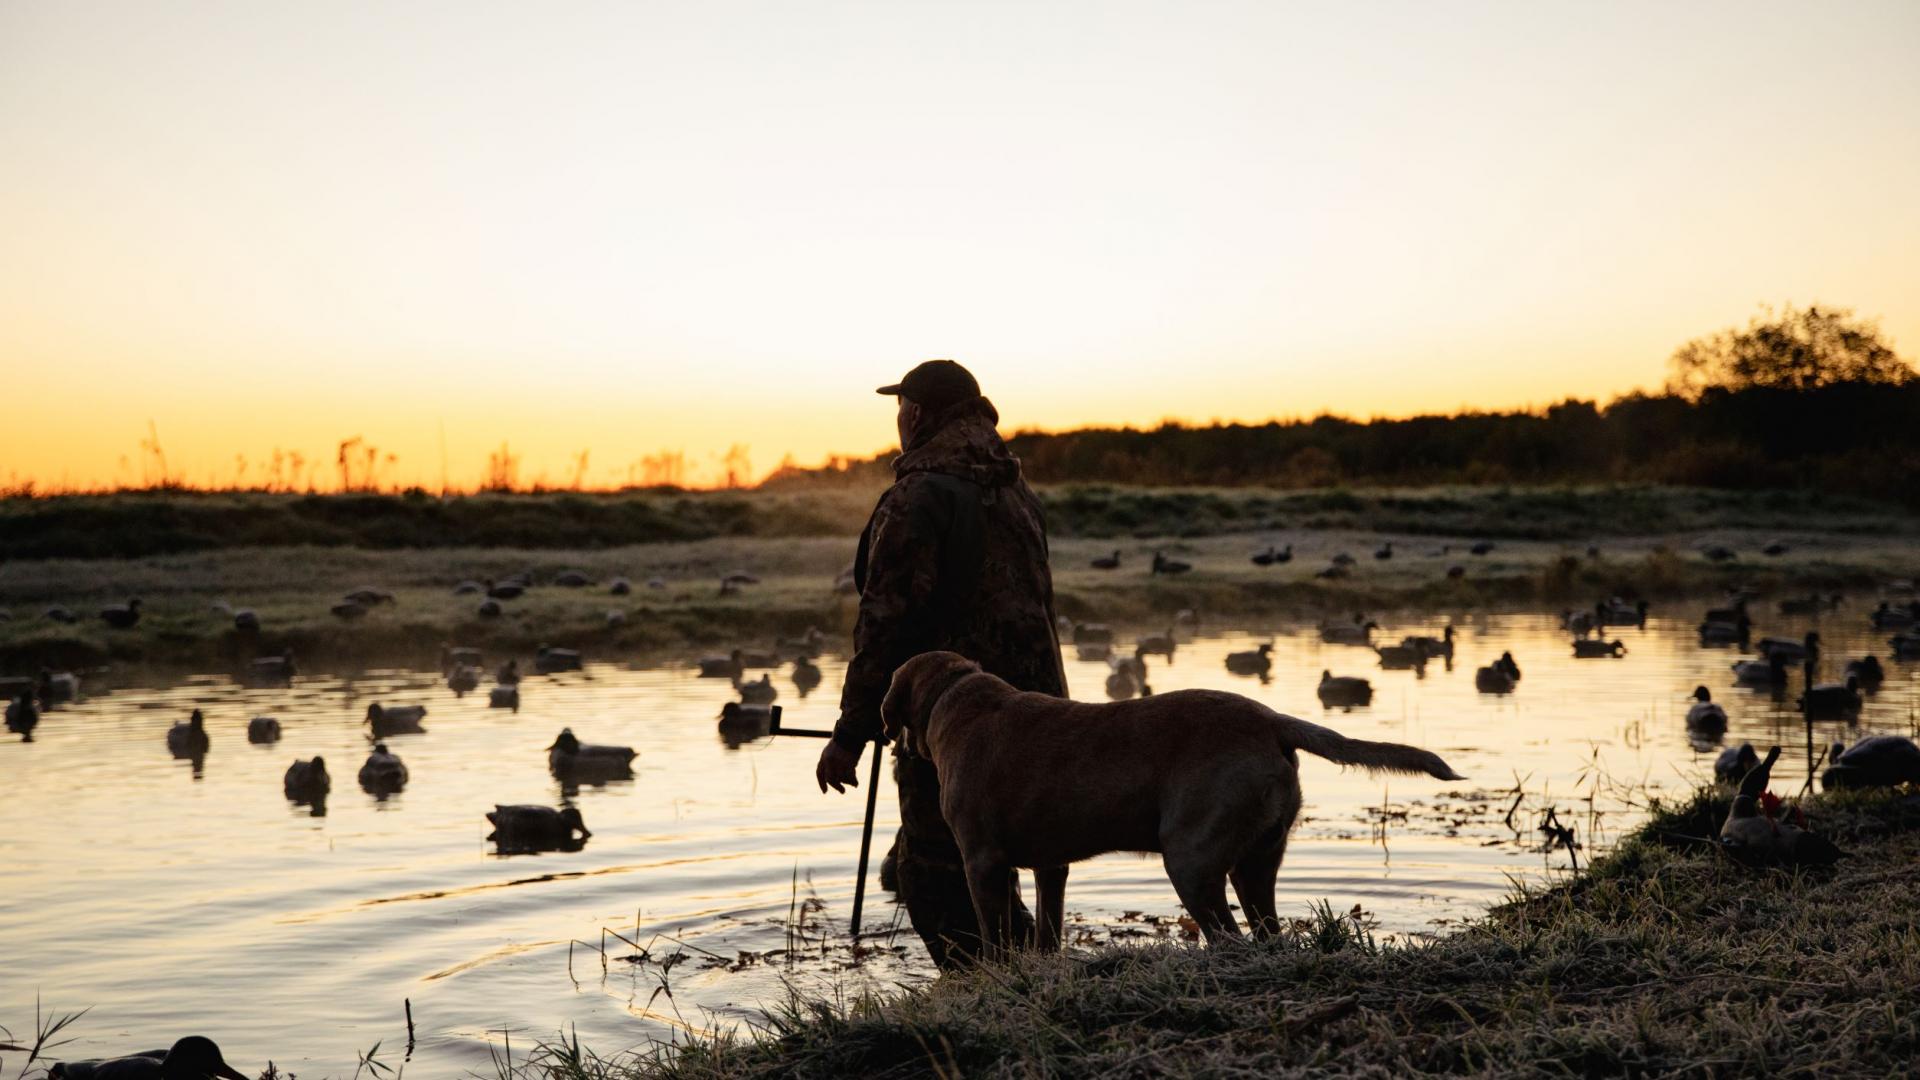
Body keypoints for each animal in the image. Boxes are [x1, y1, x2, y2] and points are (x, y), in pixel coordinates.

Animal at [883, 645, 1466, 949]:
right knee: (1264, 930)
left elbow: (993, 933)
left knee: (1228, 937)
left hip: (1190, 856)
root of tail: (1271, 720)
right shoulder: (1053, 865)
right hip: (1257, 859)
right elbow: (1048, 927)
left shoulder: (982, 861)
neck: (956, 697)